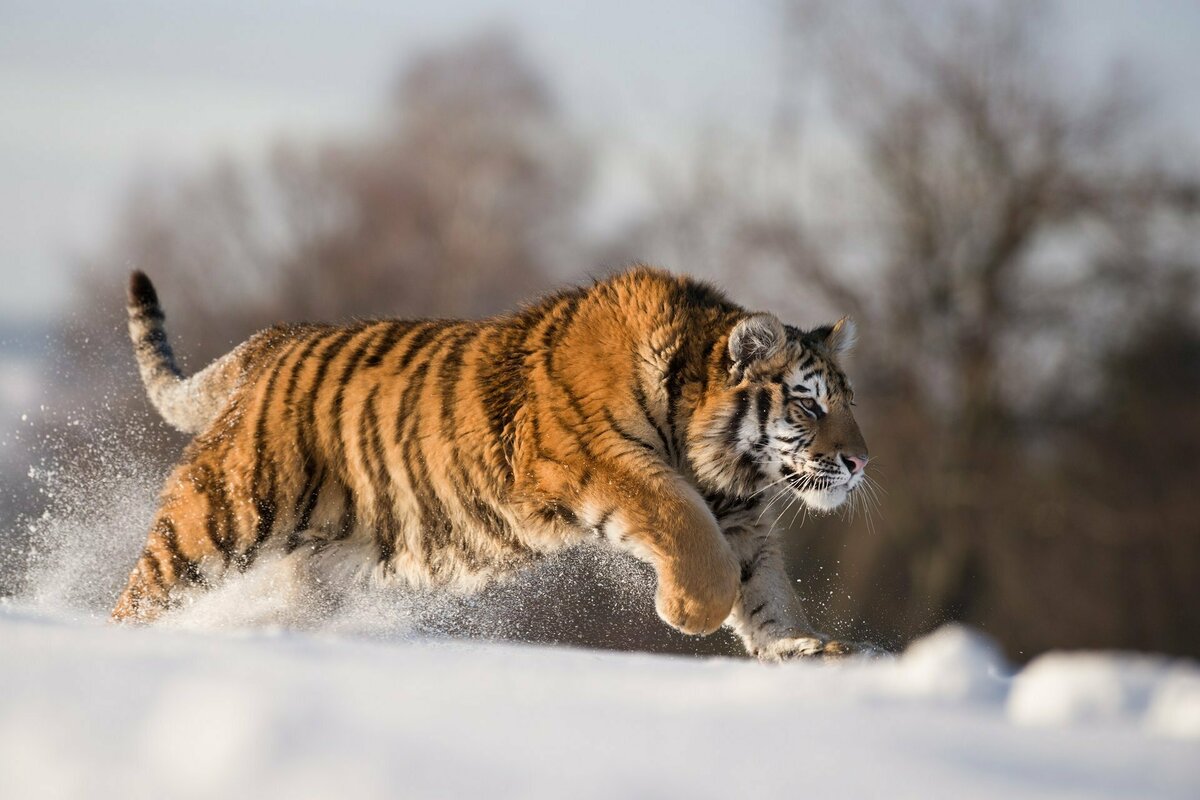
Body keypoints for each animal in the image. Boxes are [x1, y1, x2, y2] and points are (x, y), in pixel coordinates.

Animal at [114, 266, 873, 662]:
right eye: (808, 403)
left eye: (848, 401)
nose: (860, 461)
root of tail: (273, 341)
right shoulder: (601, 464)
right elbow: (691, 537)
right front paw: (687, 611)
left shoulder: (740, 519)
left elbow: (765, 589)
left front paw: (806, 649)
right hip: (222, 514)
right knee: (143, 592)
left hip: (322, 562)